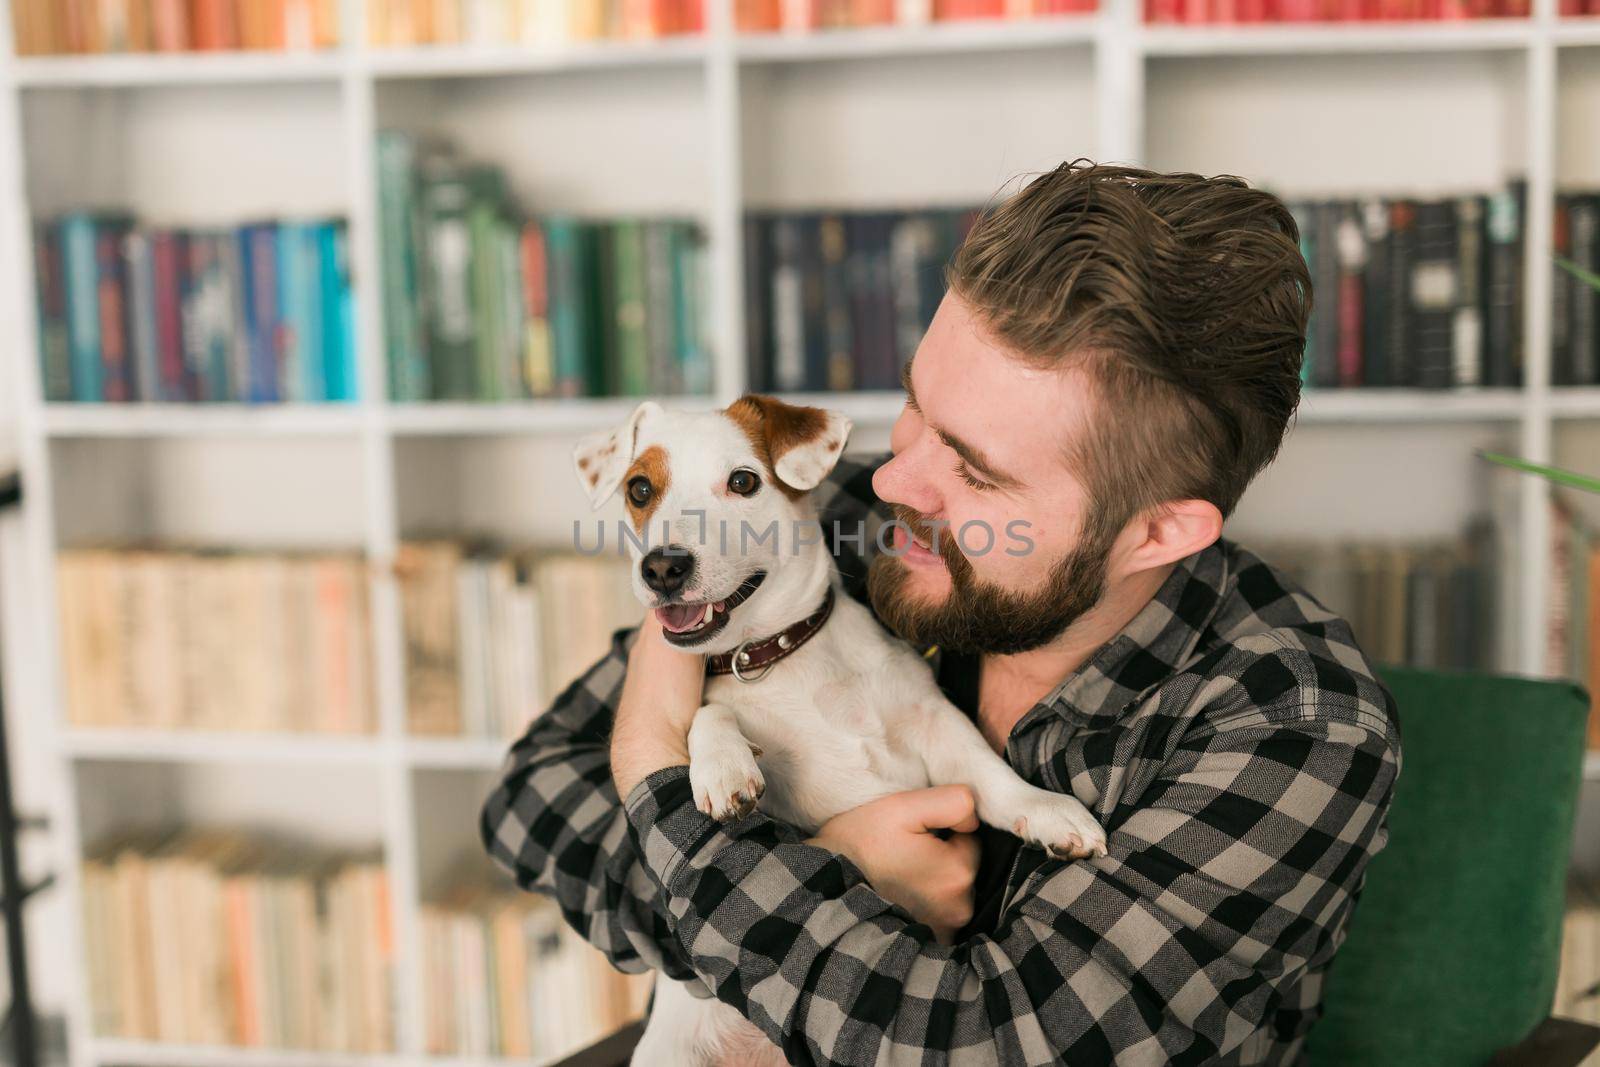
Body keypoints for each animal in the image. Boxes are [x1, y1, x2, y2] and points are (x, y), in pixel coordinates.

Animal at [569, 395, 1107, 1067]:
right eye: (639, 488)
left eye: (743, 481)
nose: (663, 566)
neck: (779, 658)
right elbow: (709, 714)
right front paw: (722, 767)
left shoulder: (934, 725)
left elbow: (993, 773)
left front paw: (1050, 811)